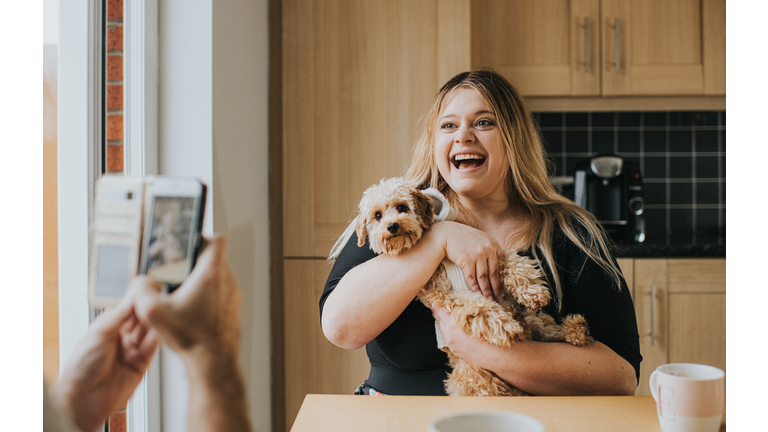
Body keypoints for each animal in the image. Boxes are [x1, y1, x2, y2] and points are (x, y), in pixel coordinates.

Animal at [354, 177, 592, 396]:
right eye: (377, 216)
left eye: (402, 207)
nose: (392, 226)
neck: (445, 262)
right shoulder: (445, 294)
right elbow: (478, 306)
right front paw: (505, 325)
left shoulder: (491, 252)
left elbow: (514, 262)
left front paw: (533, 291)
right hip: (471, 378)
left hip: (536, 321)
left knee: (551, 331)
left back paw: (577, 329)